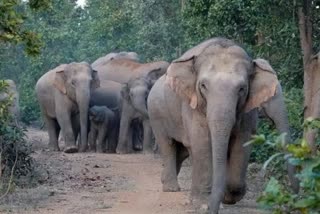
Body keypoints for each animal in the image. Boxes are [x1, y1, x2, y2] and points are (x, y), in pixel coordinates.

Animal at [148, 37, 296, 213]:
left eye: (242, 88)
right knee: (168, 144)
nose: (212, 210)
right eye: (203, 86)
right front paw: (203, 202)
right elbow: (202, 142)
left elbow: (242, 141)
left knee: (182, 150)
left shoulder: (247, 109)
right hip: (156, 114)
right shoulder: (192, 104)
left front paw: (228, 197)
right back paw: (171, 188)